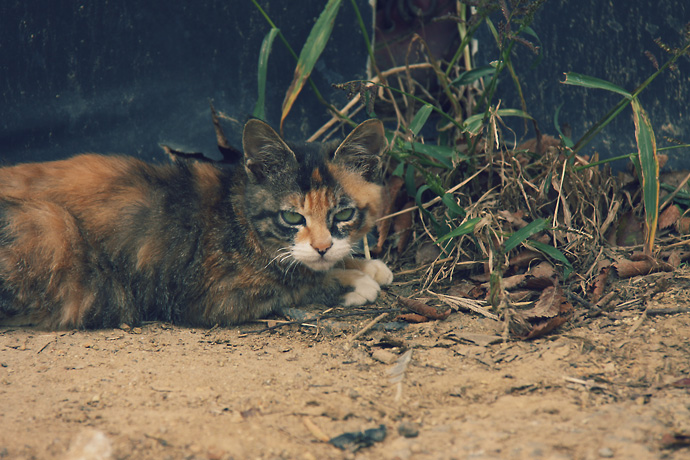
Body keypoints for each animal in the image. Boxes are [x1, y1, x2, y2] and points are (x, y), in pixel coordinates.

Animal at [0, 117, 390, 328]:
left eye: (343, 214)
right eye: (292, 216)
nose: (322, 247)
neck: (240, 214)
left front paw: (364, 264)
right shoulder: (215, 297)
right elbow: (297, 283)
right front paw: (353, 281)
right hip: (49, 225)